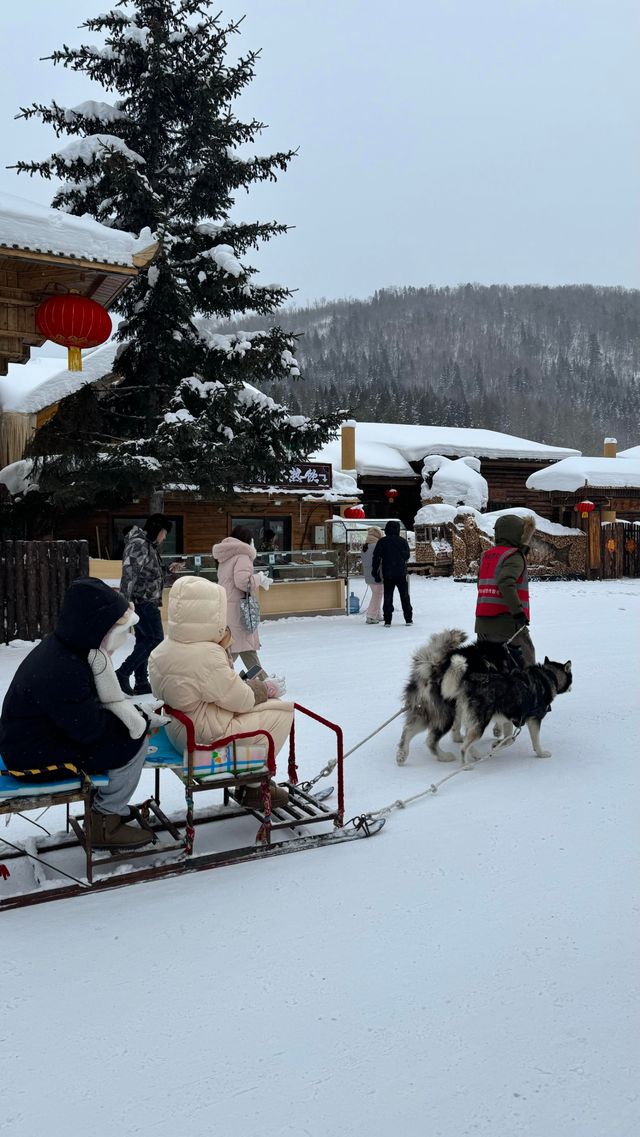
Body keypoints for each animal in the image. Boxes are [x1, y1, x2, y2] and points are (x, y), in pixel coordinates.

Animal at [395, 632, 520, 764]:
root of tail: (431, 669)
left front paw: (459, 738)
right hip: (446, 716)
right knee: (431, 740)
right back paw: (446, 756)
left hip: (424, 712)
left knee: (408, 730)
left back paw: (402, 755)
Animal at [443, 650, 572, 764]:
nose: (571, 688)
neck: (548, 676)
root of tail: (469, 683)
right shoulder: (534, 720)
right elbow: (535, 741)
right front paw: (541, 753)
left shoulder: (509, 718)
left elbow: (509, 738)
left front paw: (498, 744)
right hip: (480, 724)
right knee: (463, 747)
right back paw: (466, 765)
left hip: (473, 723)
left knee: (467, 742)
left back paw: (476, 755)